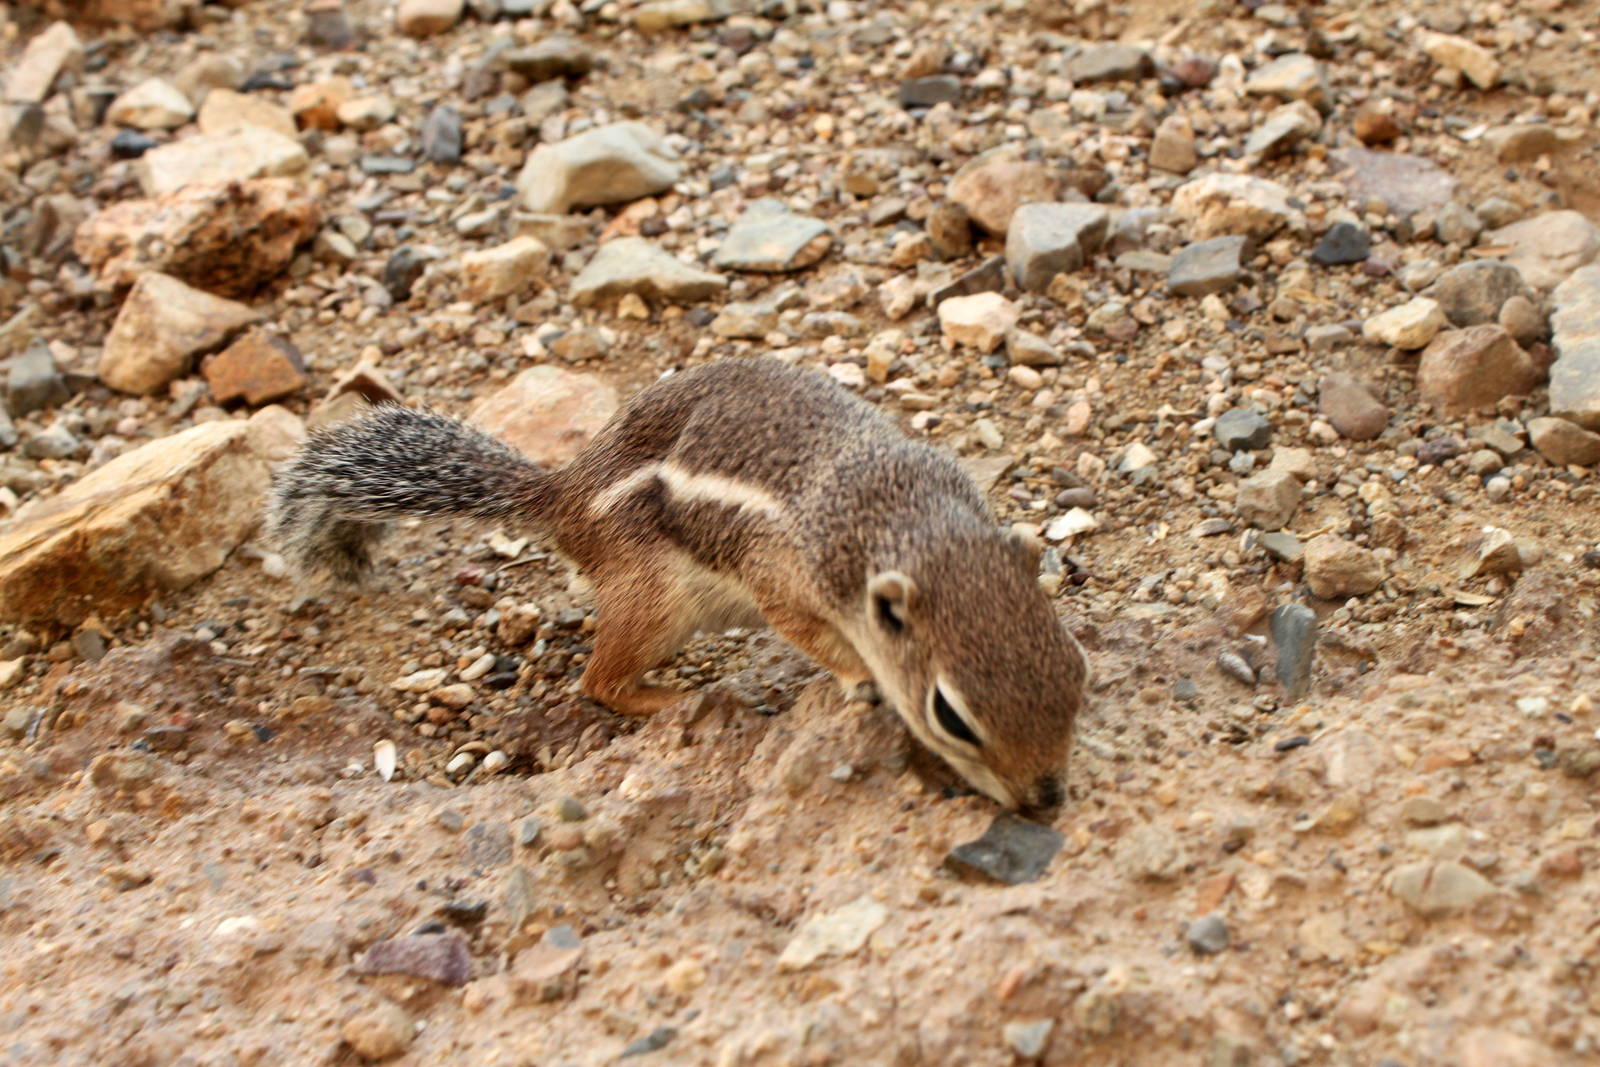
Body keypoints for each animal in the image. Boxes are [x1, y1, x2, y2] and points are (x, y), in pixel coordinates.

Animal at [268, 358, 1087, 811]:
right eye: (951, 716)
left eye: (1076, 671)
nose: (1045, 801)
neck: (912, 518)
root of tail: (562, 495)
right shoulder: (782, 579)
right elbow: (810, 633)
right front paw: (860, 678)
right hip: (653, 597)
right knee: (600, 682)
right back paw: (689, 698)